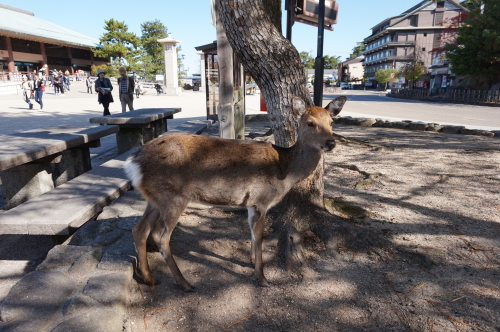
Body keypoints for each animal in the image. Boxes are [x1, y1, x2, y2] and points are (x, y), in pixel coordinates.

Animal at [123, 95, 346, 290]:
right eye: (310, 123)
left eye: (331, 122)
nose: (331, 143)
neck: (286, 170)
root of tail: (133, 162)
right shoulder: (261, 199)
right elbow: (259, 237)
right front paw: (262, 278)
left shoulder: (250, 203)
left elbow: (252, 234)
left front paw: (251, 262)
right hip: (173, 197)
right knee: (160, 235)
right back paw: (185, 283)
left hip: (155, 198)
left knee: (139, 229)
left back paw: (149, 278)